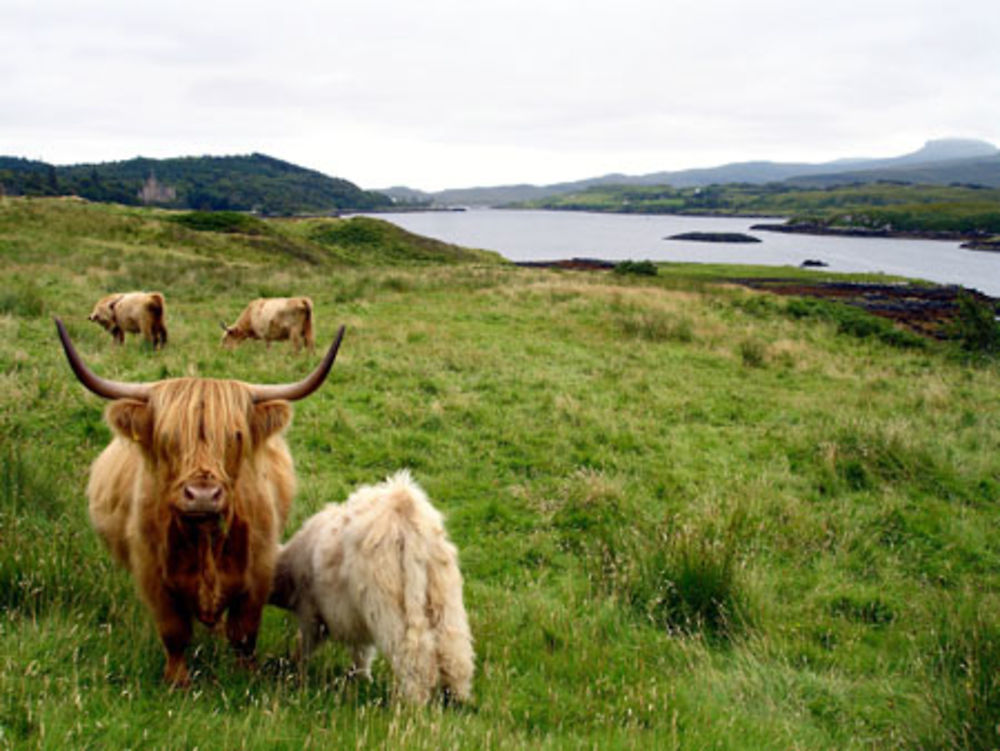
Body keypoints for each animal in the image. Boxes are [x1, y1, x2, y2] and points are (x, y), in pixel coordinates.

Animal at [54, 318, 346, 688]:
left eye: (235, 435)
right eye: (167, 436)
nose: (203, 495)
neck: (205, 540)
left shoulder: (259, 571)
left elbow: (244, 632)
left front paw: (246, 676)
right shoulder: (153, 578)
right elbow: (174, 633)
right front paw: (177, 682)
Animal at [270, 470, 472, 704]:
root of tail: (403, 506)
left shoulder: (311, 613)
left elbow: (307, 644)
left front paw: (297, 668)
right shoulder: (355, 617)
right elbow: (362, 650)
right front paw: (363, 678)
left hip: (386, 602)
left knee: (413, 652)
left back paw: (414, 701)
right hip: (443, 591)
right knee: (454, 648)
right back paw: (457, 697)